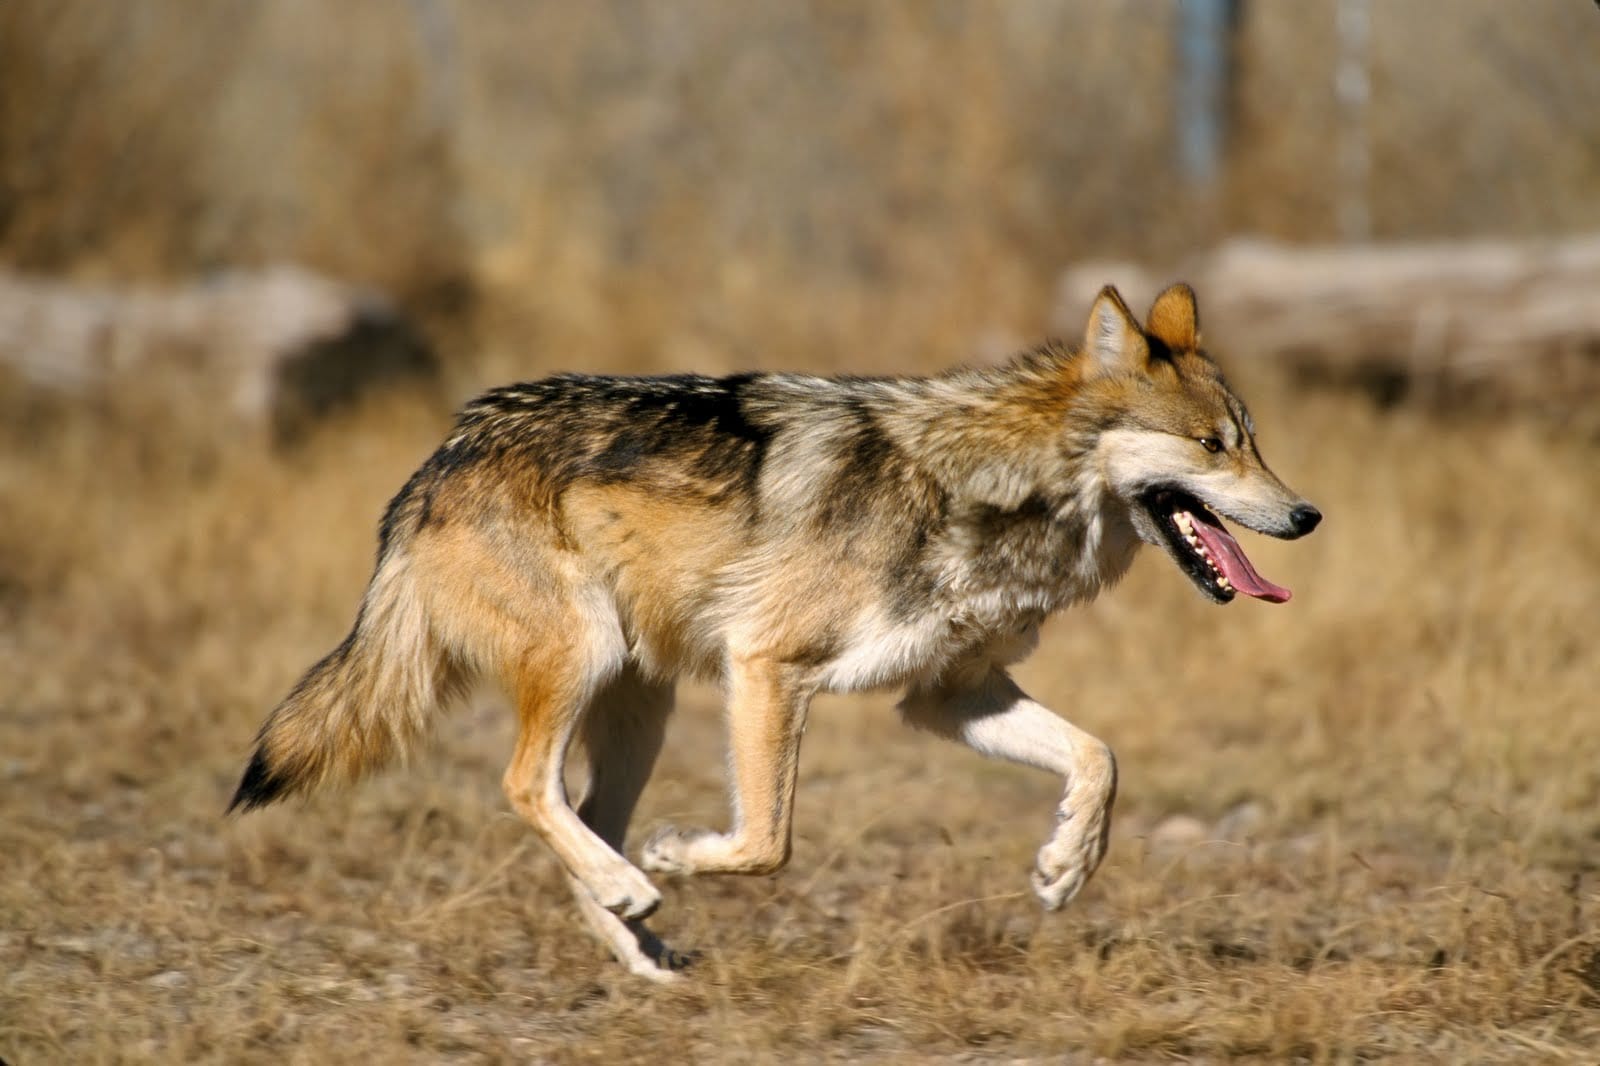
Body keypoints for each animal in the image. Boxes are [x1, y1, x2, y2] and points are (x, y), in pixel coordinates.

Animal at [228, 284, 1324, 979]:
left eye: (1254, 441)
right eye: (1212, 445)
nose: (1308, 514)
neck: (992, 489)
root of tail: (441, 456)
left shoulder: (948, 696)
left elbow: (1099, 758)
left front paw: (1065, 866)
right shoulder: (767, 666)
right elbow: (766, 842)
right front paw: (681, 855)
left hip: (641, 708)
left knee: (580, 815)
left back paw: (640, 943)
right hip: (587, 663)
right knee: (526, 787)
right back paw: (638, 885)